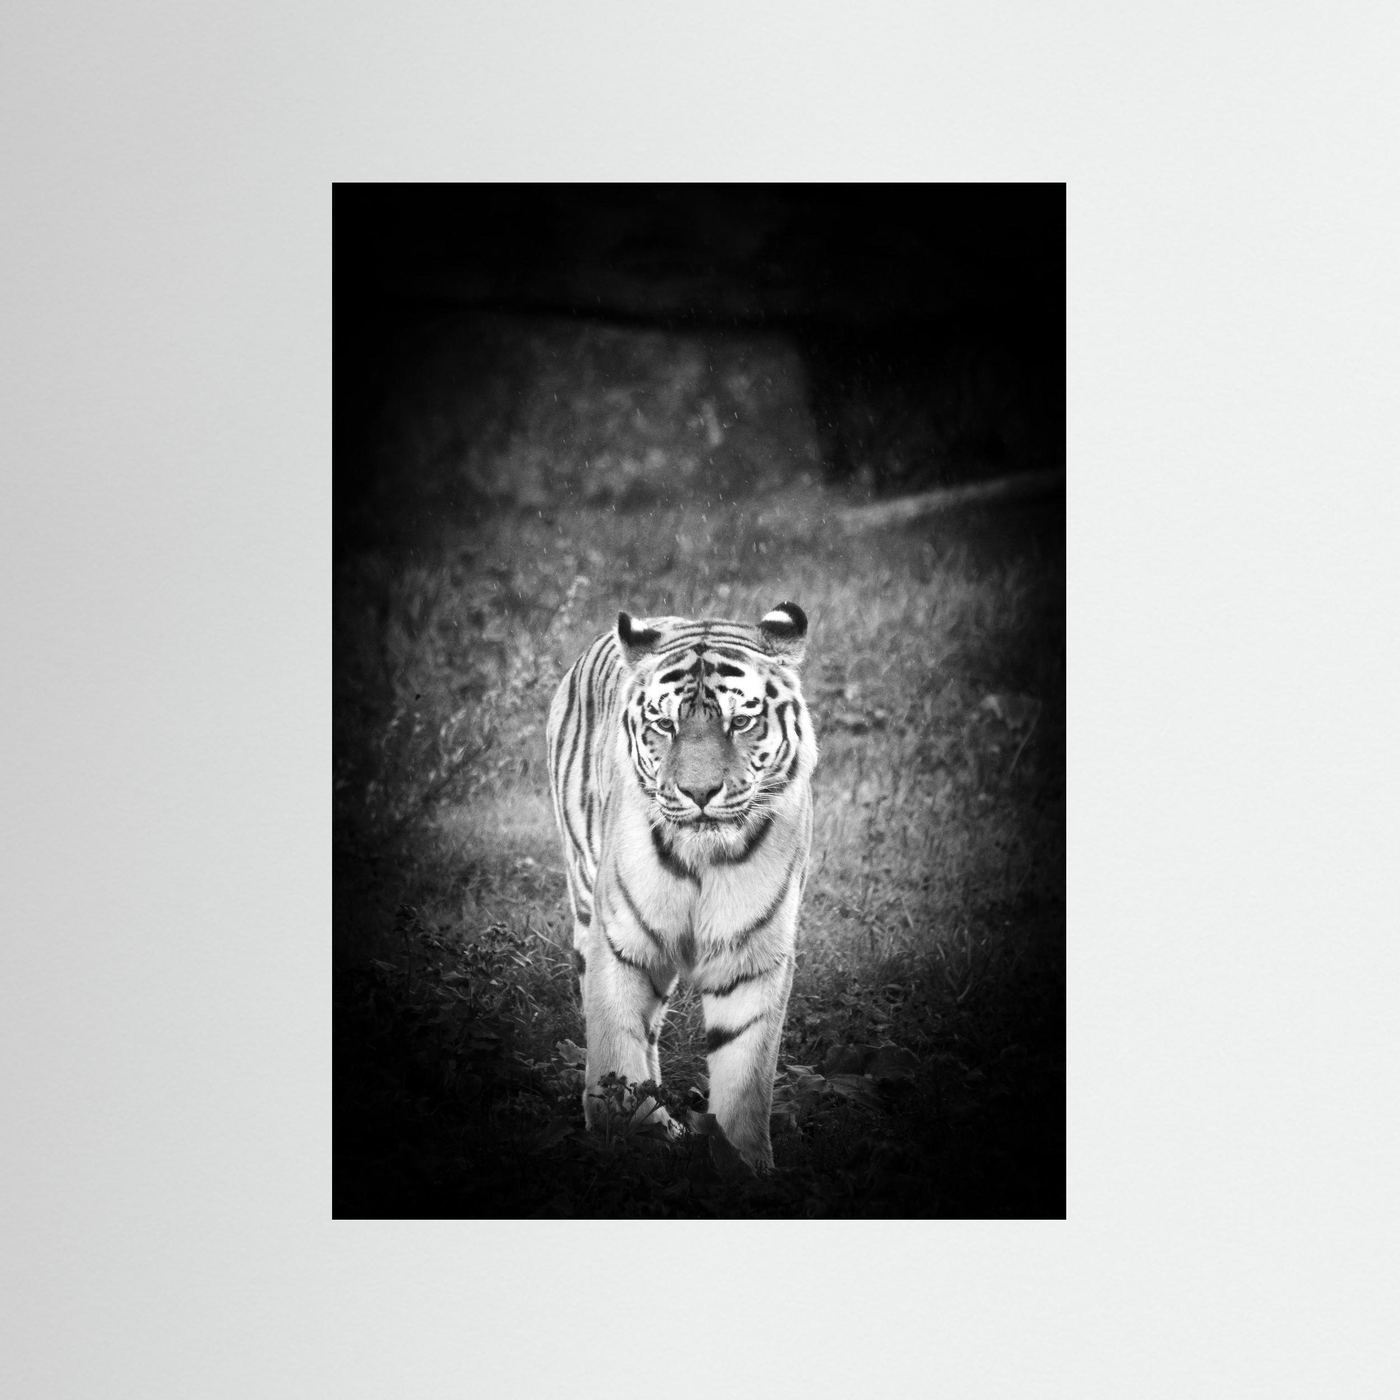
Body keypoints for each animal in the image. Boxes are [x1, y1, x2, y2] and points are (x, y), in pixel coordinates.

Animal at [545, 601, 818, 1173]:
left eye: (741, 721)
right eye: (664, 725)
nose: (699, 792)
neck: (702, 859)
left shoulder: (752, 957)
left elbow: (746, 1075)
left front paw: (744, 1166)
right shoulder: (620, 943)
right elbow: (616, 1048)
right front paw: (631, 1141)